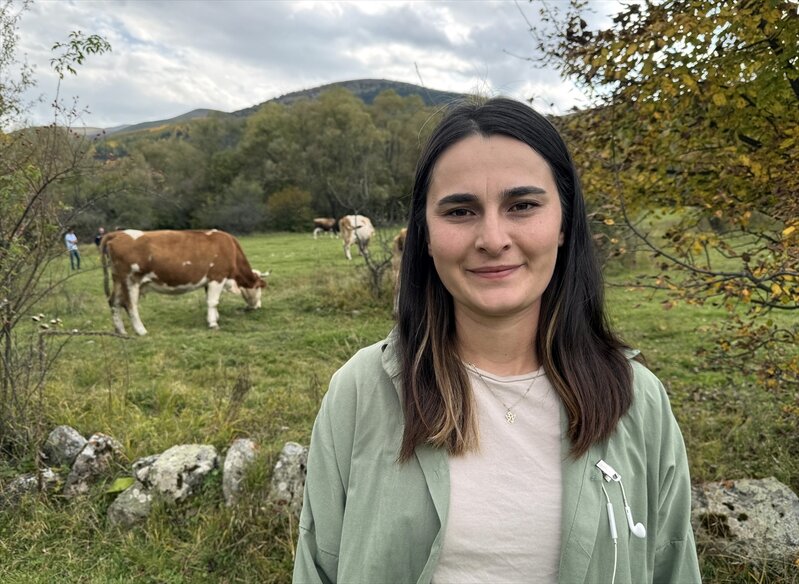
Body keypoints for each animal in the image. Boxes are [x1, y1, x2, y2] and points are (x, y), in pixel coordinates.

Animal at [100, 229, 268, 338]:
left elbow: (210, 301)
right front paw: (213, 324)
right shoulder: (217, 277)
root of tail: (118, 233)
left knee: (113, 302)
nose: (258, 306)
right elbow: (213, 301)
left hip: (118, 281)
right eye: (259, 289)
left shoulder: (209, 281)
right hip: (130, 281)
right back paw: (141, 331)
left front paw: (214, 317)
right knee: (130, 306)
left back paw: (121, 331)